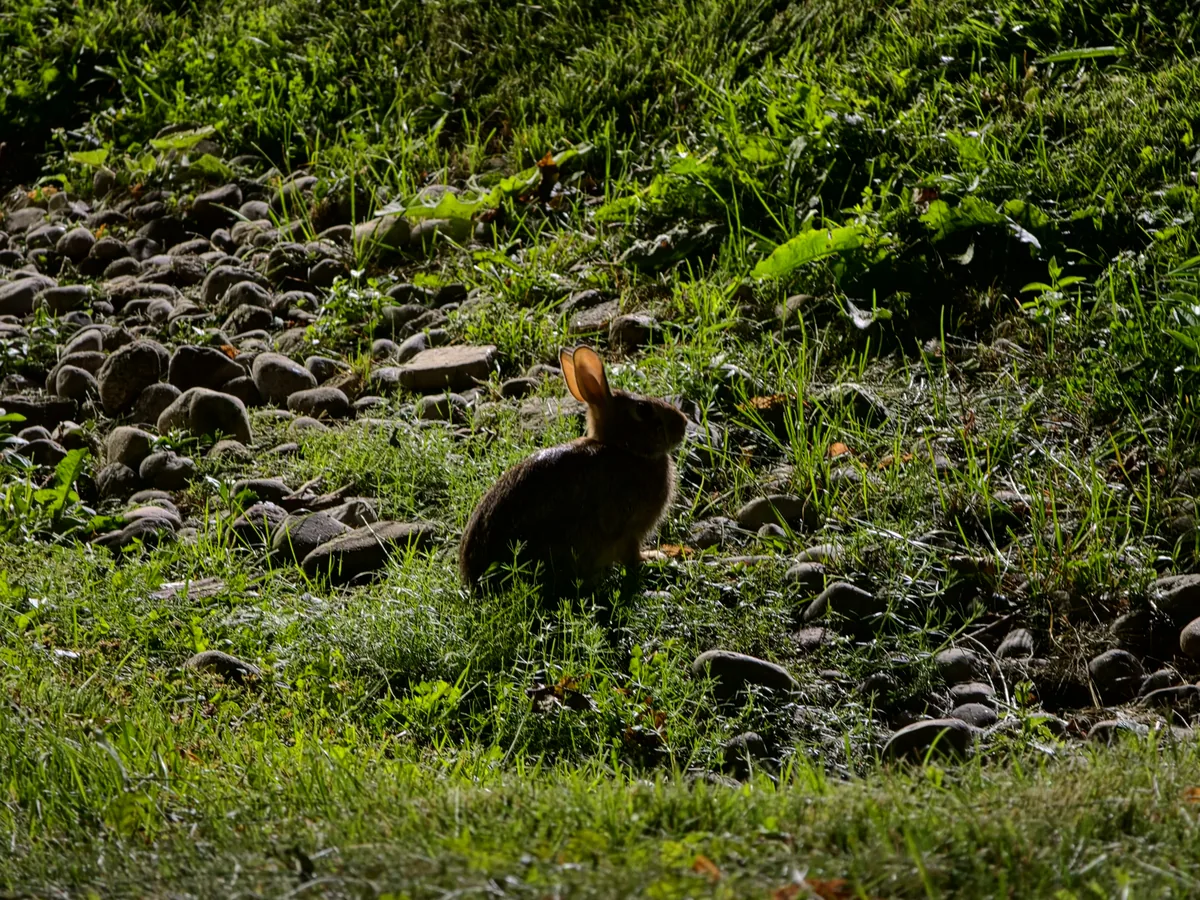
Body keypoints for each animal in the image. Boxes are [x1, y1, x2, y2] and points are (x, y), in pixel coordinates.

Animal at [459, 345, 688, 595]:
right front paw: (654, 558)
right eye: (643, 409)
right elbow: (632, 555)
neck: (623, 448)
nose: (684, 423)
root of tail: (474, 581)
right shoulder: (629, 531)